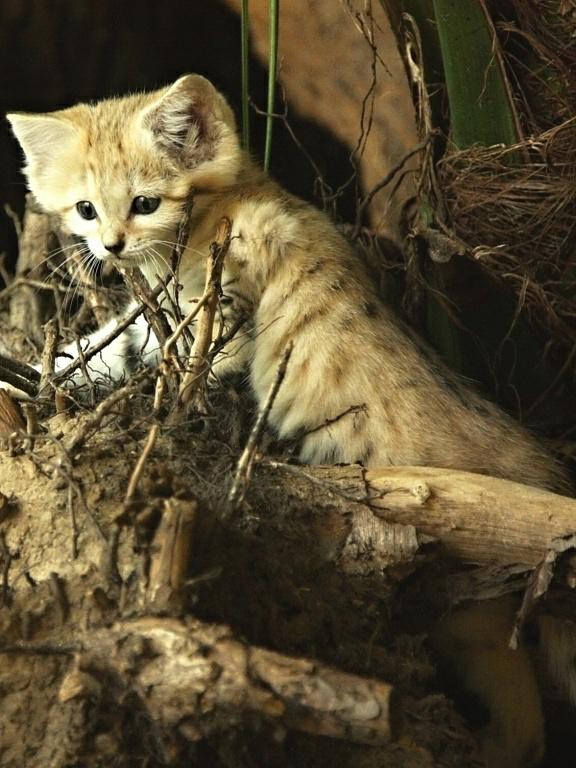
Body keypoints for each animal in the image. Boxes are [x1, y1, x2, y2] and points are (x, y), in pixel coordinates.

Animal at [6, 73, 572, 768]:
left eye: (144, 202)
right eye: (86, 209)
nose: (110, 246)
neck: (232, 204)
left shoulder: (213, 328)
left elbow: (145, 368)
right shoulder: (155, 322)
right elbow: (93, 349)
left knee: (527, 718)